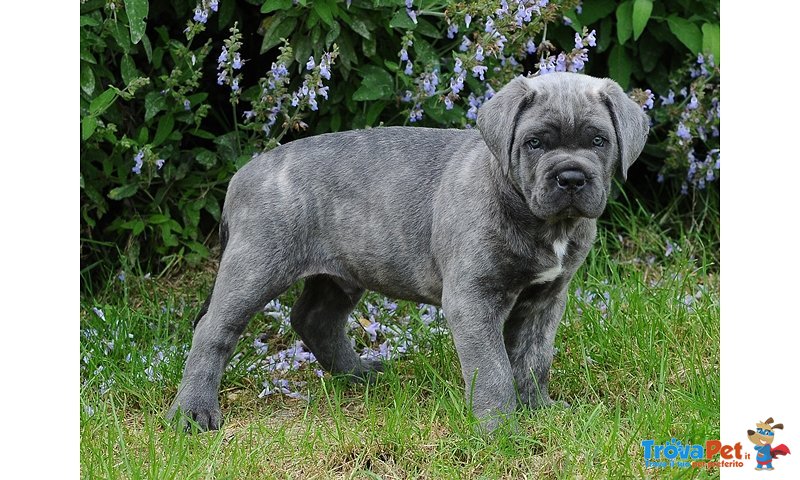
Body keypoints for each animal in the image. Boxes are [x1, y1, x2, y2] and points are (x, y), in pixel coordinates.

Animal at [166, 73, 648, 434]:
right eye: (535, 143)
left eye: (599, 141)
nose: (571, 178)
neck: (541, 221)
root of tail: (244, 172)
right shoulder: (474, 300)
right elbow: (493, 369)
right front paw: (500, 429)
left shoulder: (546, 299)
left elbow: (533, 359)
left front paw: (538, 411)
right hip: (256, 266)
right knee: (214, 330)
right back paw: (193, 412)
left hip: (342, 272)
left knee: (314, 319)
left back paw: (359, 374)